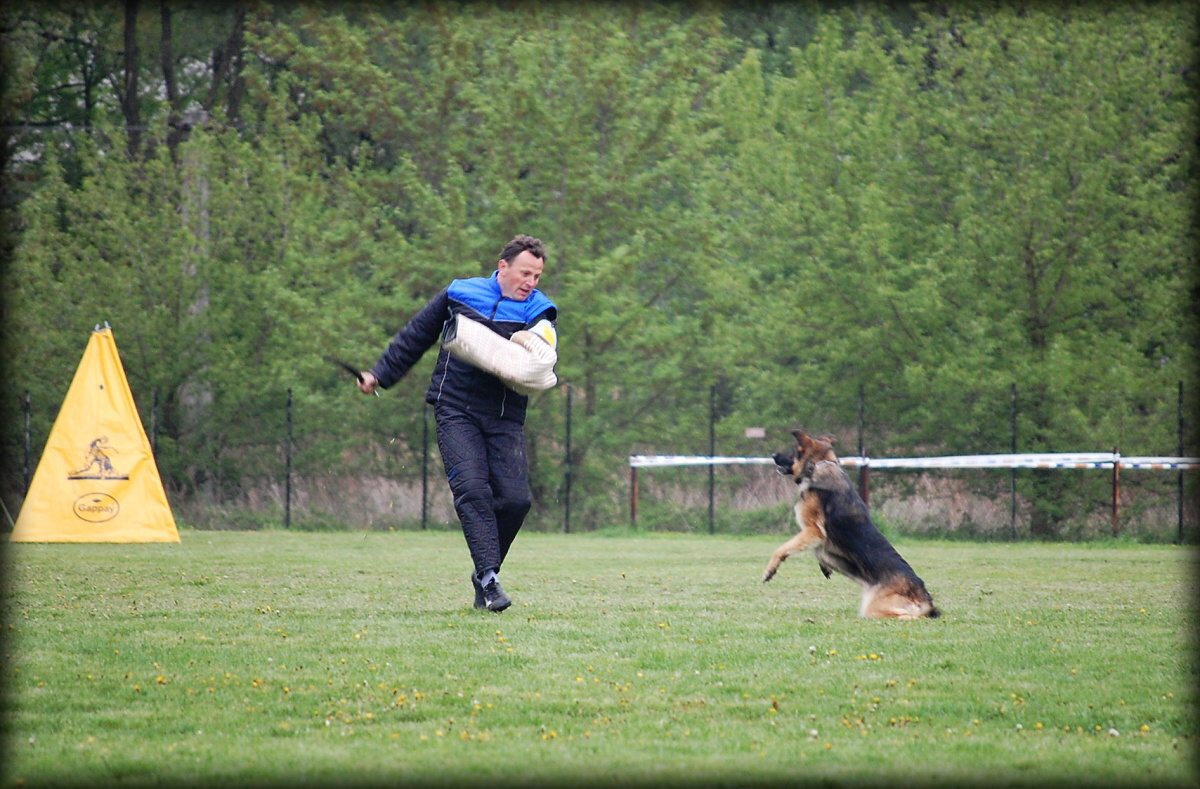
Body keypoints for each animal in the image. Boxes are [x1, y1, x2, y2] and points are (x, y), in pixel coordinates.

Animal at [763, 426, 940, 618]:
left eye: (793, 451)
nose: (773, 454)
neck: (819, 465)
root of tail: (925, 598)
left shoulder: (814, 530)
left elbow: (782, 548)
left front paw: (770, 570)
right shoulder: (815, 537)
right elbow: (813, 551)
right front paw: (825, 567)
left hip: (874, 608)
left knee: (907, 616)